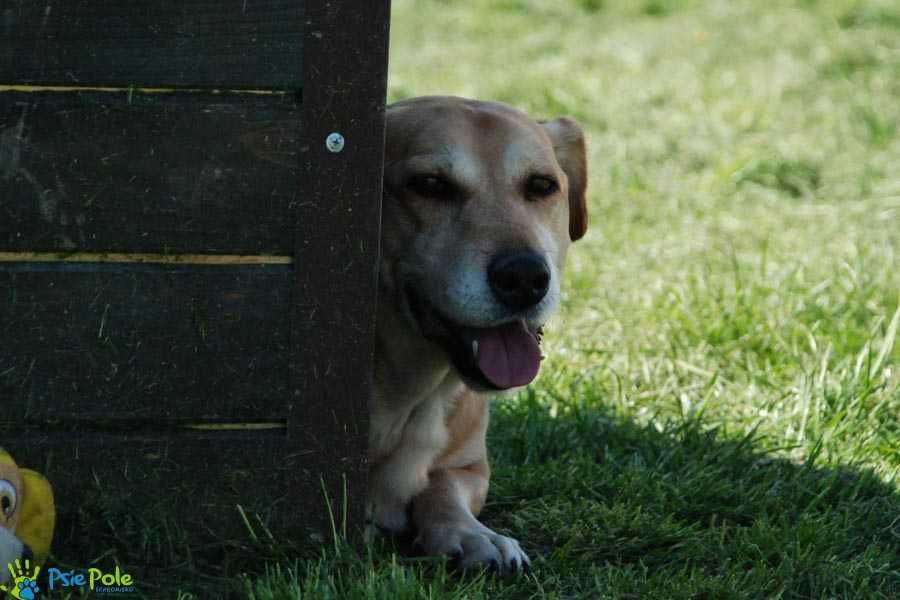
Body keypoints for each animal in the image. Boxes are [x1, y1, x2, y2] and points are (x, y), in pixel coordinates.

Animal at [370, 96, 588, 576]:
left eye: (541, 185)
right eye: (430, 185)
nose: (524, 277)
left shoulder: (472, 467)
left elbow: (442, 486)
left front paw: (471, 534)